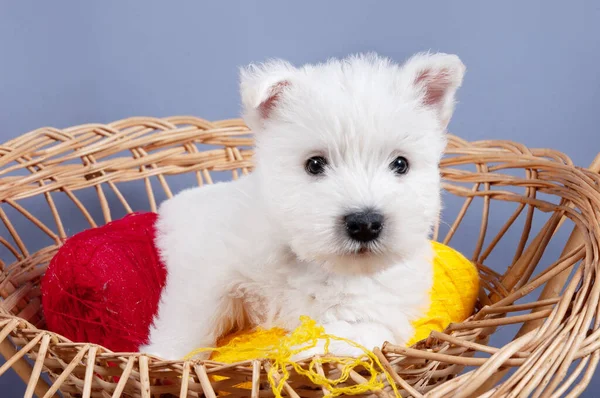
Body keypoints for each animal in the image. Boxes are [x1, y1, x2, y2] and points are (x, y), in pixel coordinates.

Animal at [141, 51, 464, 360]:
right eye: (315, 164)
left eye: (400, 164)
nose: (365, 224)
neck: (313, 260)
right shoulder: (214, 269)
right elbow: (193, 317)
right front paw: (165, 359)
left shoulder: (373, 312)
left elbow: (340, 336)